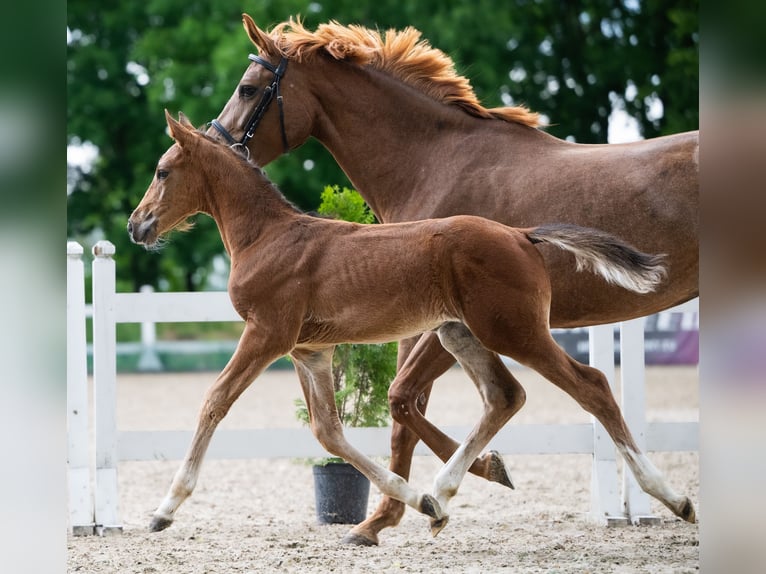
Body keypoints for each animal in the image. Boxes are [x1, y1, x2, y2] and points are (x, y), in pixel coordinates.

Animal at [207, 15, 699, 545]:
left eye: (248, 88)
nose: (214, 144)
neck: (435, 163)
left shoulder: (435, 322)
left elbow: (403, 403)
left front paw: (393, 514)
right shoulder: (435, 323)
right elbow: (432, 404)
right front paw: (421, 501)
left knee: (592, 388)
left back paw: (674, 499)